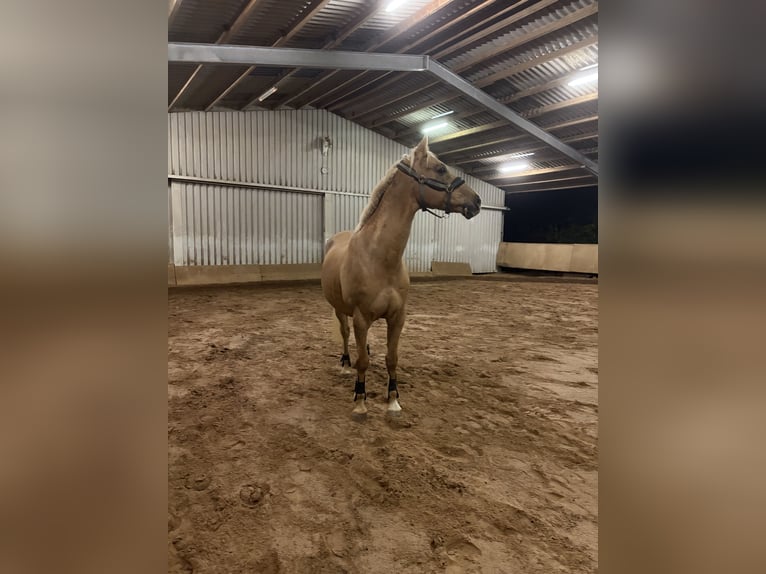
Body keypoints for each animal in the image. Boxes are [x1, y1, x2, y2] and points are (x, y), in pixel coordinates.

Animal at [320, 136, 482, 417]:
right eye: (440, 169)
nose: (477, 201)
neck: (379, 259)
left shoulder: (398, 317)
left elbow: (391, 358)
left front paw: (393, 399)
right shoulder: (361, 318)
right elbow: (362, 361)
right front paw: (360, 400)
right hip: (340, 310)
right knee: (345, 335)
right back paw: (344, 363)